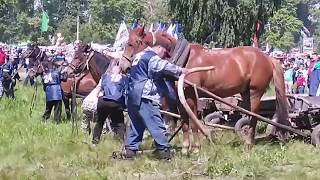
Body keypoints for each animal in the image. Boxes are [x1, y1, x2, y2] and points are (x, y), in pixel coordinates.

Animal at [119, 26, 288, 153]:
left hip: (255, 92)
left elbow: (193, 120)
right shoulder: (179, 97)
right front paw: (185, 148)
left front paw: (196, 148)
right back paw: (248, 141)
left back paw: (247, 143)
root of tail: (268, 58)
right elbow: (185, 121)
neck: (185, 60)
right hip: (245, 92)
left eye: (131, 44)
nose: (123, 67)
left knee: (254, 116)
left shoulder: (190, 95)